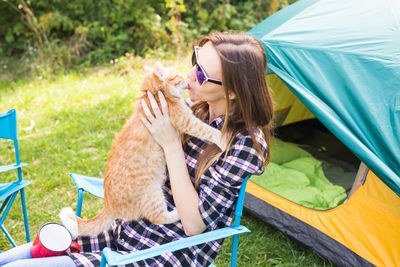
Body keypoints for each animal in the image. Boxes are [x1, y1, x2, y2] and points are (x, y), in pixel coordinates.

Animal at [61, 62, 227, 239]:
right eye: (178, 75)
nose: (187, 79)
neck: (155, 94)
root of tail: (109, 204)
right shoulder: (185, 121)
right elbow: (206, 129)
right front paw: (222, 138)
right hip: (153, 193)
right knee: (158, 217)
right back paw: (176, 213)